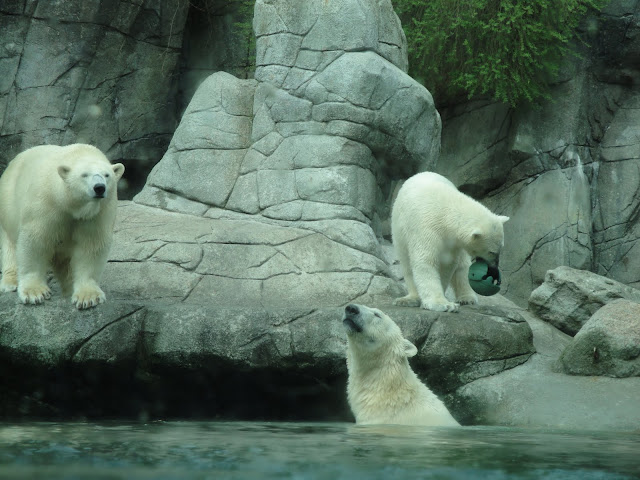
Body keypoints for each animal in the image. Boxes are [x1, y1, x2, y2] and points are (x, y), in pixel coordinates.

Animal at [0, 144, 125, 309]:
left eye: (106, 175)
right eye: (84, 175)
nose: (99, 188)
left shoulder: (98, 213)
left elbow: (91, 246)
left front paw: (88, 296)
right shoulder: (45, 203)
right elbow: (36, 241)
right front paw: (35, 292)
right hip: (8, 202)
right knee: (10, 243)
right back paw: (10, 282)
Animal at [391, 172, 509, 312]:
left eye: (501, 247)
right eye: (491, 252)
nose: (494, 268)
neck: (444, 210)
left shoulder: (453, 242)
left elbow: (448, 263)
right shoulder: (425, 228)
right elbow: (426, 261)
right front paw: (442, 304)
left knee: (463, 266)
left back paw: (467, 298)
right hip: (399, 233)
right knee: (406, 263)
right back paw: (410, 299)